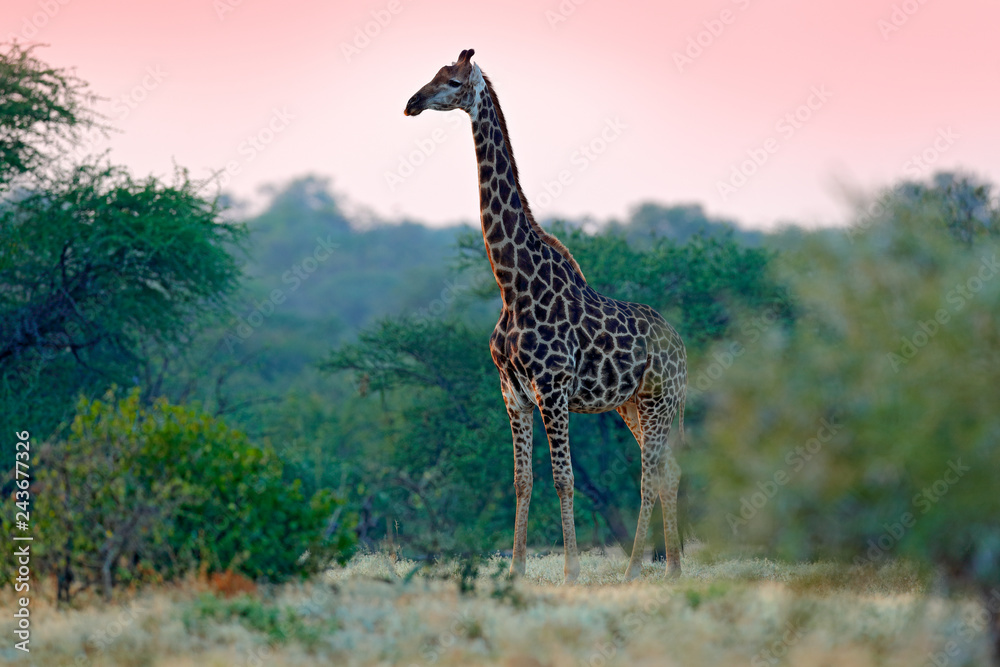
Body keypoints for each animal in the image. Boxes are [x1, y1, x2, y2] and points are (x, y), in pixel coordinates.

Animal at [405, 49, 687, 583]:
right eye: (432, 74)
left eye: (451, 81)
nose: (411, 102)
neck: (512, 285)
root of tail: (682, 346)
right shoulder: (512, 390)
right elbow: (522, 479)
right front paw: (516, 569)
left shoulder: (552, 387)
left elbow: (564, 477)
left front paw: (572, 570)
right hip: (631, 405)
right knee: (665, 471)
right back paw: (675, 568)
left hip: (660, 400)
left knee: (651, 476)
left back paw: (635, 570)